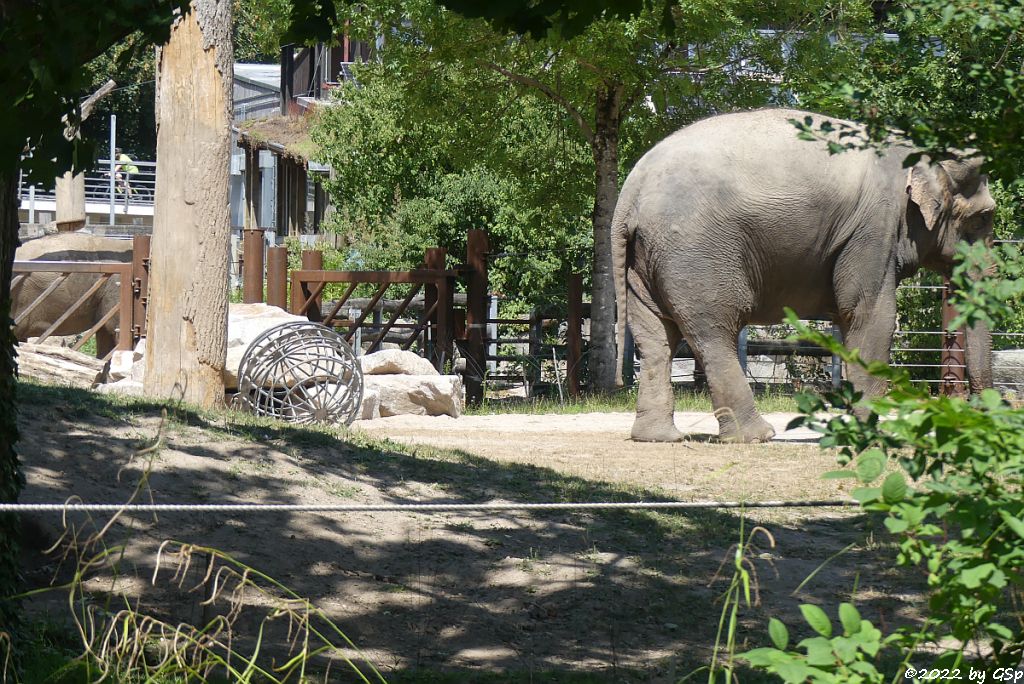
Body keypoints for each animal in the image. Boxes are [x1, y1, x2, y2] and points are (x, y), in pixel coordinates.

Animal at [610, 108, 995, 444]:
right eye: (984, 217)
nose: (980, 410)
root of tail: (629, 195)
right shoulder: (874, 229)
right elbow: (871, 316)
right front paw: (875, 433)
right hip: (695, 253)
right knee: (713, 331)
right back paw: (757, 436)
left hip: (645, 260)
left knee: (656, 338)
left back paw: (659, 437)